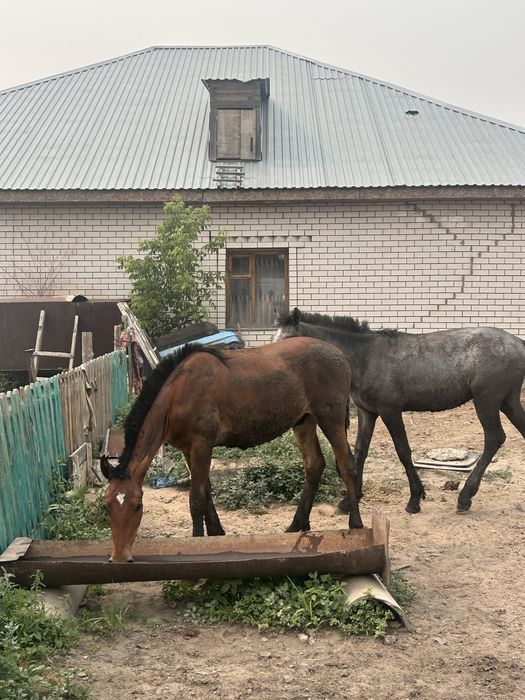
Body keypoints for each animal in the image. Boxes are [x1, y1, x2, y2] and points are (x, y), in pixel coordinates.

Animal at [101, 337, 363, 562]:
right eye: (106, 505)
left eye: (138, 505)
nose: (119, 556)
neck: (179, 394)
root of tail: (341, 355)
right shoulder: (189, 450)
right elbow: (206, 492)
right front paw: (216, 533)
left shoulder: (202, 445)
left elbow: (196, 499)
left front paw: (197, 542)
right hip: (304, 421)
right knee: (314, 464)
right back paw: (297, 524)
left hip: (330, 419)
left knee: (348, 465)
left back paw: (356, 524)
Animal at [275, 308, 525, 516]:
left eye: (288, 340)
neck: (366, 357)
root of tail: (519, 343)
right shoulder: (367, 412)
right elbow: (360, 451)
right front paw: (348, 501)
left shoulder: (390, 411)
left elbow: (403, 451)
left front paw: (414, 500)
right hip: (508, 401)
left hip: (487, 400)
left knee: (494, 438)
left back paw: (465, 497)